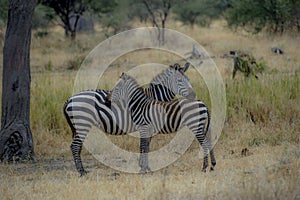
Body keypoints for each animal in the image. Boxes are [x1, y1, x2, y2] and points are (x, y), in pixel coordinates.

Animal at [62, 63, 197, 176]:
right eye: (180, 81)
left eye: (189, 80)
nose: (194, 96)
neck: (152, 98)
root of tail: (70, 99)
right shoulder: (147, 125)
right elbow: (145, 146)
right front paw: (144, 167)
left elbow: (146, 146)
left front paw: (144, 166)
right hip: (83, 124)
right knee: (75, 146)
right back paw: (82, 172)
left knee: (77, 146)